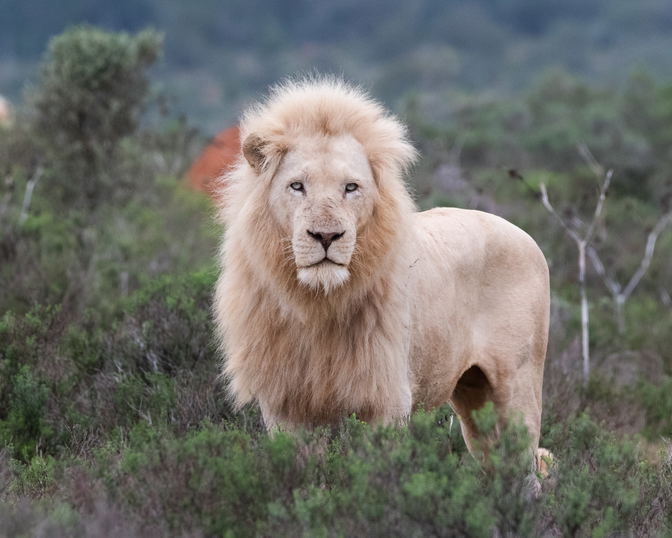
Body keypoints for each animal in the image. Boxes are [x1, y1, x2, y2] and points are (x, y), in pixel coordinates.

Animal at [213, 77, 551, 472]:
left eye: (351, 187)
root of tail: (524, 235)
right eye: (297, 186)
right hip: (474, 398)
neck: (316, 303)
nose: (326, 236)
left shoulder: (385, 399)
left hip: (517, 387)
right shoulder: (286, 406)